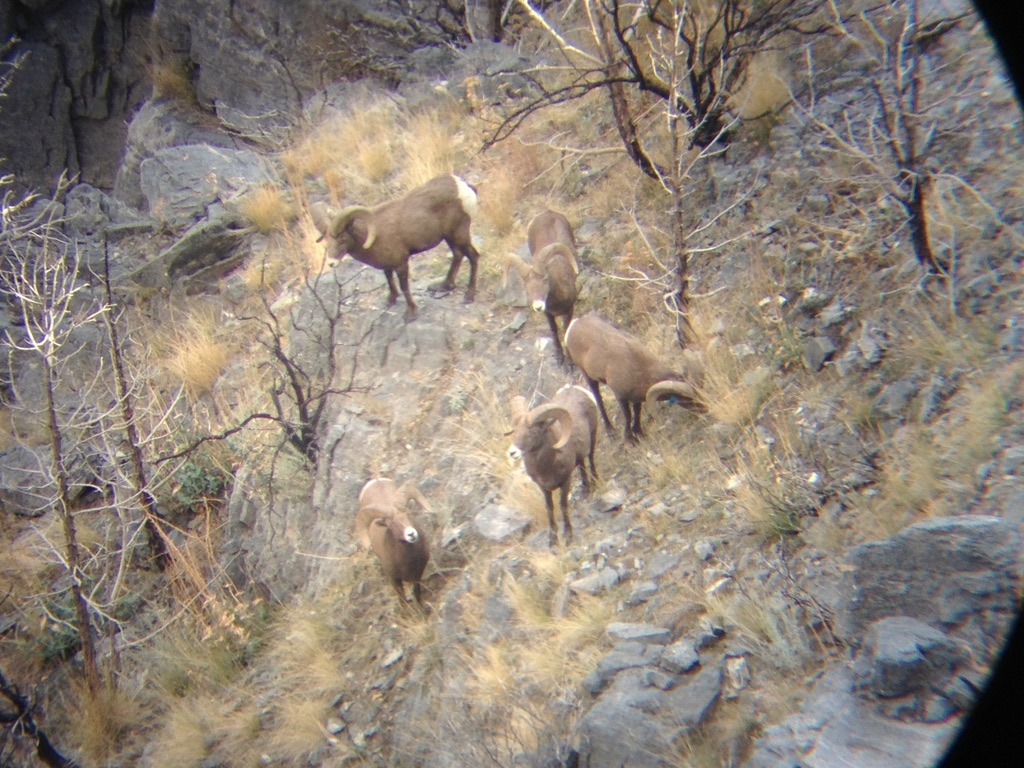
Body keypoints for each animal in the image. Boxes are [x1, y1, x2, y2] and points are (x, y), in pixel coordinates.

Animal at [311, 174, 481, 320]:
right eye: (327, 241)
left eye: (342, 239)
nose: (331, 263)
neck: (373, 237)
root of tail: (463, 187)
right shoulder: (387, 265)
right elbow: (389, 279)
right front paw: (390, 300)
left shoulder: (401, 264)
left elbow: (404, 287)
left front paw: (411, 313)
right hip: (449, 237)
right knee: (458, 254)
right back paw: (443, 286)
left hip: (459, 233)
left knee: (473, 255)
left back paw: (469, 295)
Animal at [504, 210, 580, 365]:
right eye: (526, 285)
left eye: (545, 279)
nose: (538, 306)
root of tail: (548, 212)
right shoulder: (548, 315)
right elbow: (554, 332)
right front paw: (559, 358)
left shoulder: (569, 310)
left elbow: (566, 332)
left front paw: (569, 363)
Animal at [507, 384, 599, 546]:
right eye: (515, 430)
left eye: (533, 431)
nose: (512, 452)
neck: (547, 467)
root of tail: (573, 387)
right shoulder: (543, 488)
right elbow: (549, 508)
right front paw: (553, 540)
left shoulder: (565, 481)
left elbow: (562, 505)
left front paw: (568, 536)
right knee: (582, 465)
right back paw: (585, 491)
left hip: (593, 437)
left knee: (591, 459)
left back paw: (594, 484)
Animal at [564, 312, 703, 443]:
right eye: (687, 398)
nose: (704, 408)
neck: (638, 366)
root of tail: (574, 325)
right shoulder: (620, 396)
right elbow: (628, 415)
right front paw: (629, 438)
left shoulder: (636, 398)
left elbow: (637, 412)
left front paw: (638, 433)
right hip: (588, 377)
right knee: (598, 399)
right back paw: (610, 430)